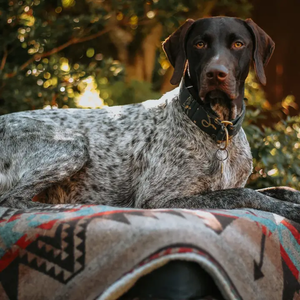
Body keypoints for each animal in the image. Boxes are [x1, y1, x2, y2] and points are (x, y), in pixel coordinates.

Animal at [0, 17, 300, 223]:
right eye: (199, 43)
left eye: (239, 44)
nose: (216, 73)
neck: (216, 128)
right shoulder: (159, 198)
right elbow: (246, 195)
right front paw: (288, 209)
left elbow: (277, 187)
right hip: (74, 146)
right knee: (12, 200)